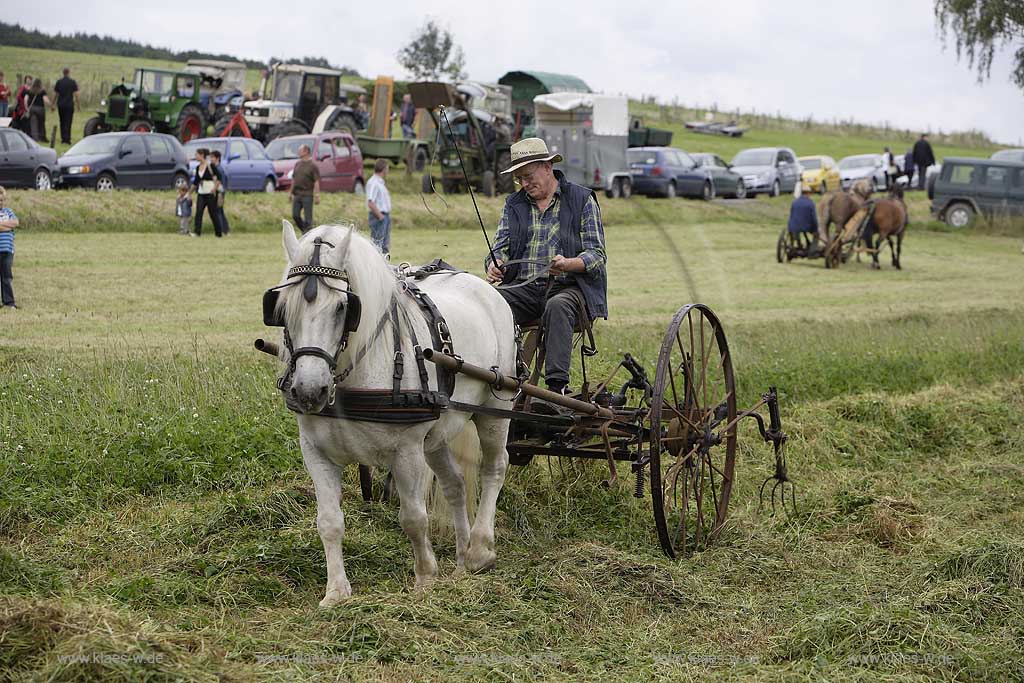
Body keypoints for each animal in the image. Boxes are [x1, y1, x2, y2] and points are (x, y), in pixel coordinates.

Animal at [274, 222, 516, 606]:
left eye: (343, 307)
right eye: (282, 306)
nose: (309, 391)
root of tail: (485, 287)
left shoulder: (407, 451)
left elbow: (414, 518)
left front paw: (425, 579)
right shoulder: (316, 451)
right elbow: (329, 521)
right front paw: (336, 592)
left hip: (495, 408)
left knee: (494, 468)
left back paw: (479, 549)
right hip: (437, 433)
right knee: (455, 484)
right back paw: (462, 560)